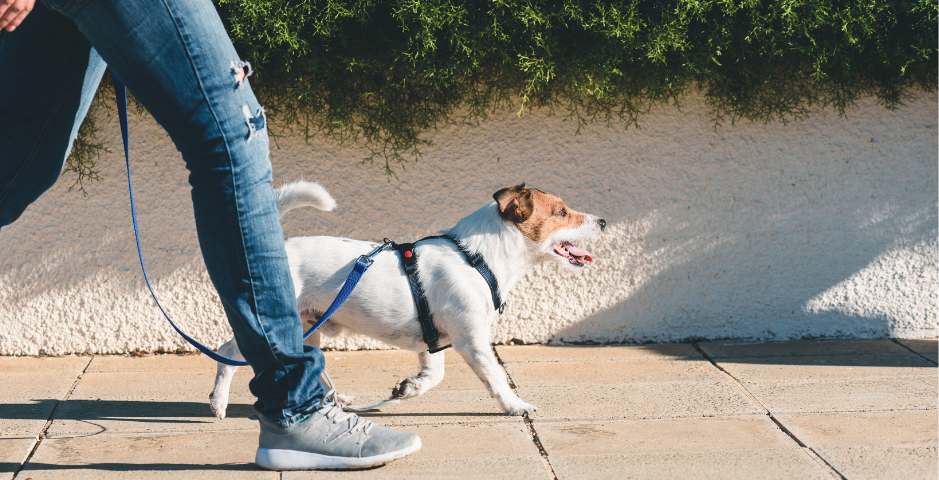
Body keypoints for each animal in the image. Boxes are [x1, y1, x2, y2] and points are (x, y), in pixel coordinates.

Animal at [209, 180, 604, 416]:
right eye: (561, 212)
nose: (602, 222)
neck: (477, 257)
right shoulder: (472, 340)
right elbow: (495, 378)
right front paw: (515, 404)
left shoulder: (434, 340)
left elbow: (433, 375)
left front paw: (408, 388)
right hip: (277, 324)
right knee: (228, 352)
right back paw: (219, 402)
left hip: (309, 327)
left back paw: (337, 401)